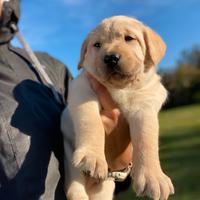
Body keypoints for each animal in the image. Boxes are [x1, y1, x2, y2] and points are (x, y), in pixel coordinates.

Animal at [61, 16, 174, 200]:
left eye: (129, 38)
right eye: (97, 44)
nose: (111, 58)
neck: (121, 88)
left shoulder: (146, 104)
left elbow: (146, 138)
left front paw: (153, 177)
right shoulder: (82, 89)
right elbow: (91, 122)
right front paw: (93, 156)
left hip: (105, 186)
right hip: (69, 158)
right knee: (74, 186)